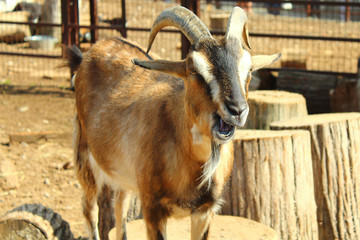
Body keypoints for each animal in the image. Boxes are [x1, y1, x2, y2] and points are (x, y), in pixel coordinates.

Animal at [67, 6, 282, 240]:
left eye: (249, 70)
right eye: (194, 71)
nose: (237, 110)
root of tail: (91, 52)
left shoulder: (204, 211)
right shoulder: (152, 207)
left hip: (123, 174)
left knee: (119, 206)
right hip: (85, 157)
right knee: (89, 209)